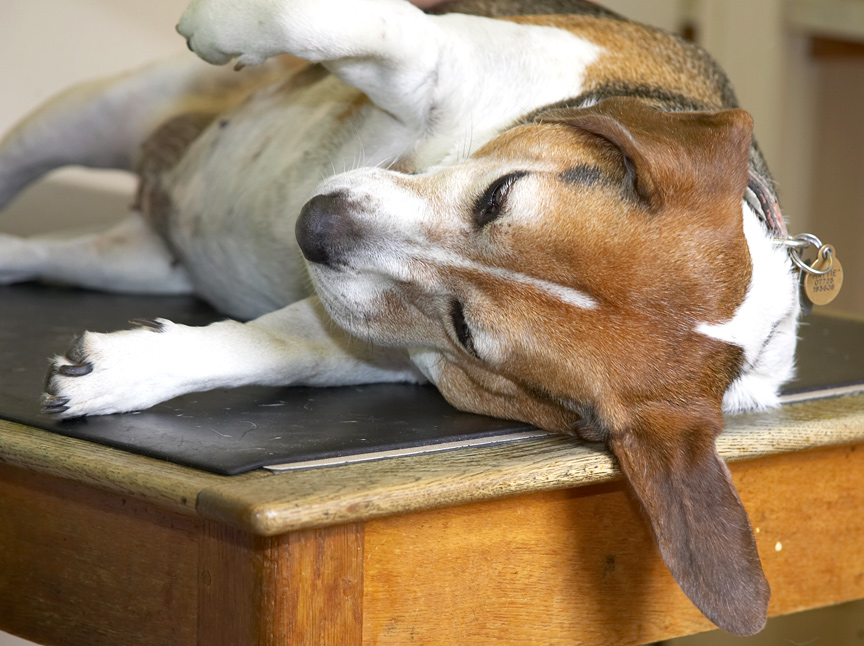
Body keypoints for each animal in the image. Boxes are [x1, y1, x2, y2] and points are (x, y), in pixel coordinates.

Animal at [0, 0, 800, 635]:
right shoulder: (441, 56)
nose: (312, 228)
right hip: (85, 115)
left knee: (44, 253)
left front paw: (120, 375)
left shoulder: (366, 335)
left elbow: (266, 347)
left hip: (133, 260)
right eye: (499, 196)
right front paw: (217, 22)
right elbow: (350, 23)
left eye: (466, 328)